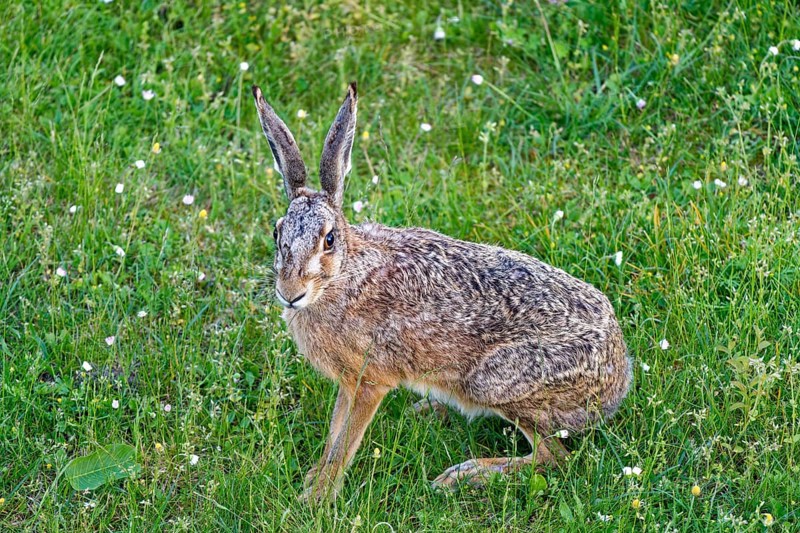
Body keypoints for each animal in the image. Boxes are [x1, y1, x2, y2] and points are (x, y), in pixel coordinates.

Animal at [251, 82, 632, 501]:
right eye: (276, 233)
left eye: (329, 240)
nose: (290, 293)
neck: (343, 278)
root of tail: (618, 376)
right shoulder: (349, 383)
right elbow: (335, 433)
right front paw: (313, 479)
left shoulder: (370, 380)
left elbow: (345, 441)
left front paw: (317, 497)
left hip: (497, 380)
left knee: (554, 458)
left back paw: (464, 475)